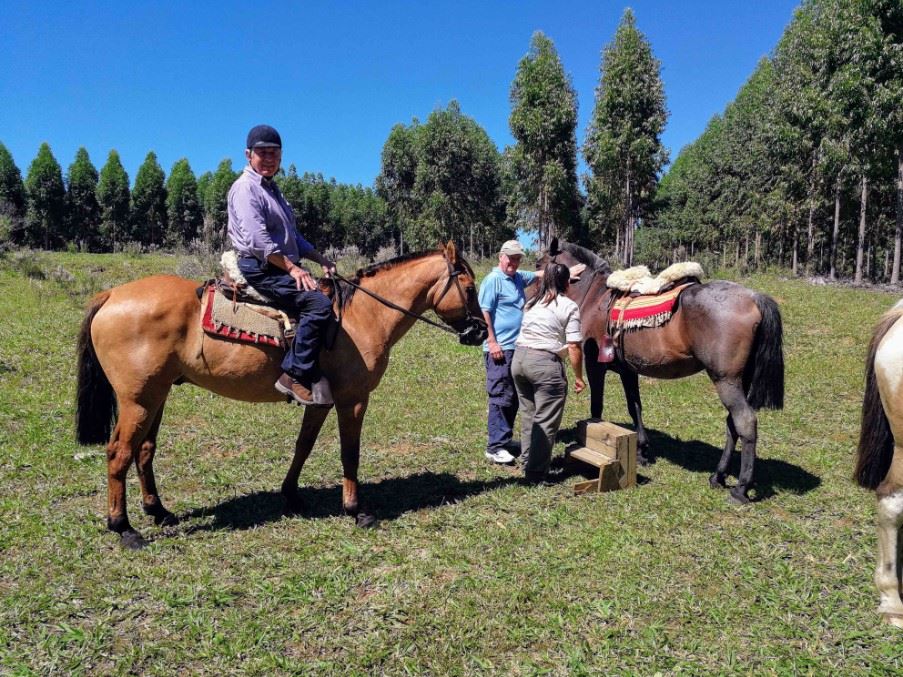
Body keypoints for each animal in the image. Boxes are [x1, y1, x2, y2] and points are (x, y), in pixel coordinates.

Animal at [77, 240, 488, 548]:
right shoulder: (352, 399)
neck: (363, 315)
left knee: (144, 450)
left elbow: (303, 445)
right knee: (119, 452)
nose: (481, 332)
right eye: (469, 288)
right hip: (138, 400)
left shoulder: (319, 400)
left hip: (157, 395)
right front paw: (356, 510)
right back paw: (124, 528)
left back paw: (158, 511)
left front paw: (291, 495)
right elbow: (349, 453)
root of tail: (111, 294)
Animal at [544, 239, 784, 502]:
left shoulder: (595, 366)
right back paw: (717, 476)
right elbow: (635, 408)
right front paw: (641, 452)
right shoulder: (629, 371)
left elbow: (597, 407)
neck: (595, 297)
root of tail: (753, 297)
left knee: (745, 422)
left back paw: (741, 488)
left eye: (538, 263)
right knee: (732, 424)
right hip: (739, 380)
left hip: (726, 380)